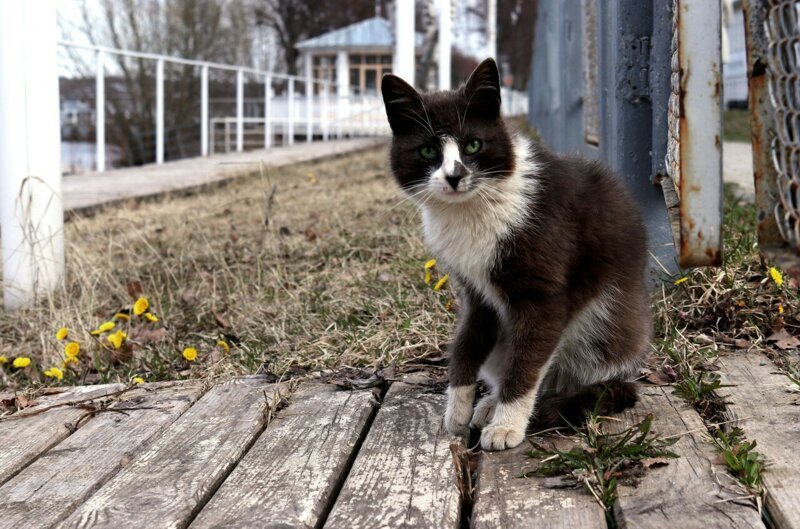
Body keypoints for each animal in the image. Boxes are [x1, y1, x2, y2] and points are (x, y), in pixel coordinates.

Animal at [380, 59, 648, 452]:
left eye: (474, 144)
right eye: (428, 151)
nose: (455, 175)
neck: (471, 208)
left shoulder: (543, 294)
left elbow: (526, 362)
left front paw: (507, 426)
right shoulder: (473, 290)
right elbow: (466, 342)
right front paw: (457, 410)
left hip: (606, 331)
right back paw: (489, 403)